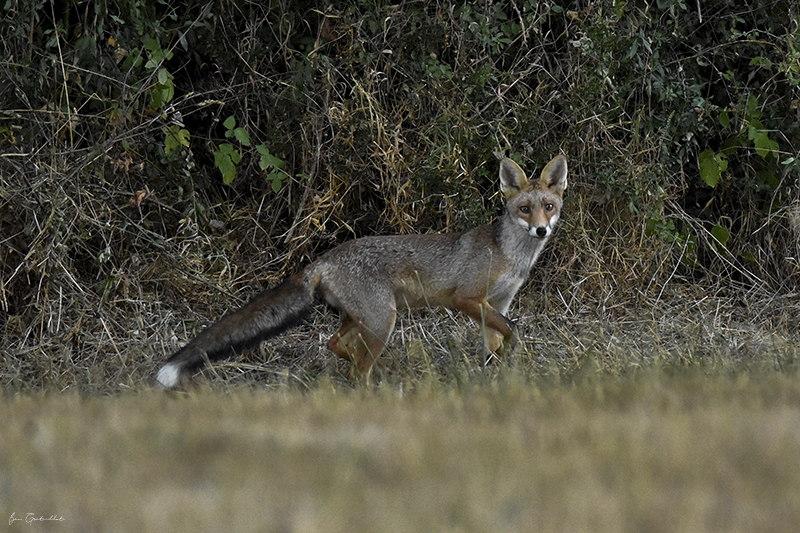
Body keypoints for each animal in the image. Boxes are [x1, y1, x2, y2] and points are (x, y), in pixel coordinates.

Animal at [158, 155, 568, 386]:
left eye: (548, 206)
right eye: (525, 209)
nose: (541, 230)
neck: (509, 254)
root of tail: (324, 258)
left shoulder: (498, 302)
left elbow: (497, 339)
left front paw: (496, 374)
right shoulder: (465, 299)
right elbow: (512, 331)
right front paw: (509, 360)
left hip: (364, 319)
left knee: (334, 344)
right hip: (382, 319)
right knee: (357, 370)